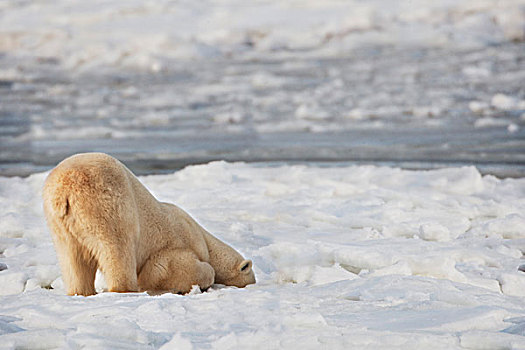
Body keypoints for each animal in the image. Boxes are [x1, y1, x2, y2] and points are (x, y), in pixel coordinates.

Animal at [42, 153, 255, 296]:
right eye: (251, 278)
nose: (253, 284)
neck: (202, 238)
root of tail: (64, 191)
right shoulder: (176, 247)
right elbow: (167, 268)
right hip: (107, 205)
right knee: (117, 249)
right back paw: (126, 289)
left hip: (58, 222)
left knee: (72, 258)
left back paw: (81, 292)